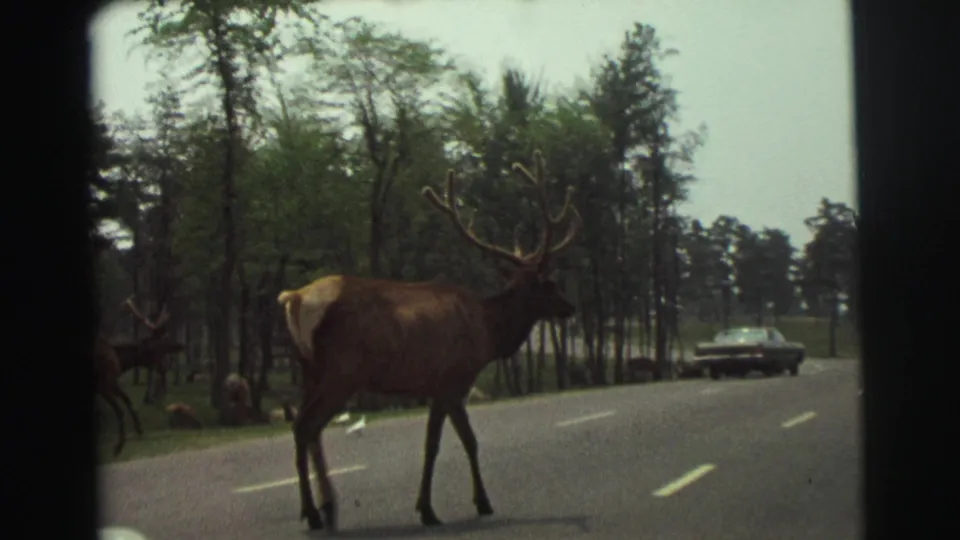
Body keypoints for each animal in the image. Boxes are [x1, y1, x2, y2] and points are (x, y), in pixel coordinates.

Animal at [276, 150, 582, 532]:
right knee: (305, 427)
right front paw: (467, 504)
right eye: (549, 284)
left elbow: (435, 443)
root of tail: (295, 298)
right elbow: (460, 441)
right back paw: (315, 513)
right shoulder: (453, 379)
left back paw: (327, 507)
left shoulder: (438, 386)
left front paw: (430, 506)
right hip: (340, 372)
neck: (489, 331)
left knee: (307, 430)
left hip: (310, 370)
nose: (570, 307)